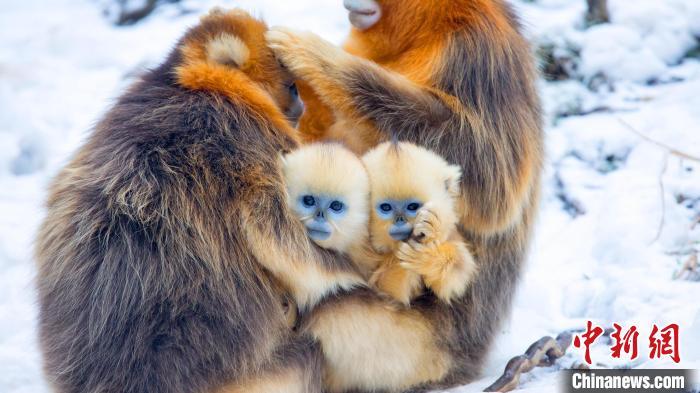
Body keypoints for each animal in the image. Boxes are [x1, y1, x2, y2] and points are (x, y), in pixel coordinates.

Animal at [284, 141, 476, 304]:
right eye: (386, 208)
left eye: (413, 207)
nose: (399, 221)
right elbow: (389, 290)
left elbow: (457, 275)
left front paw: (434, 236)